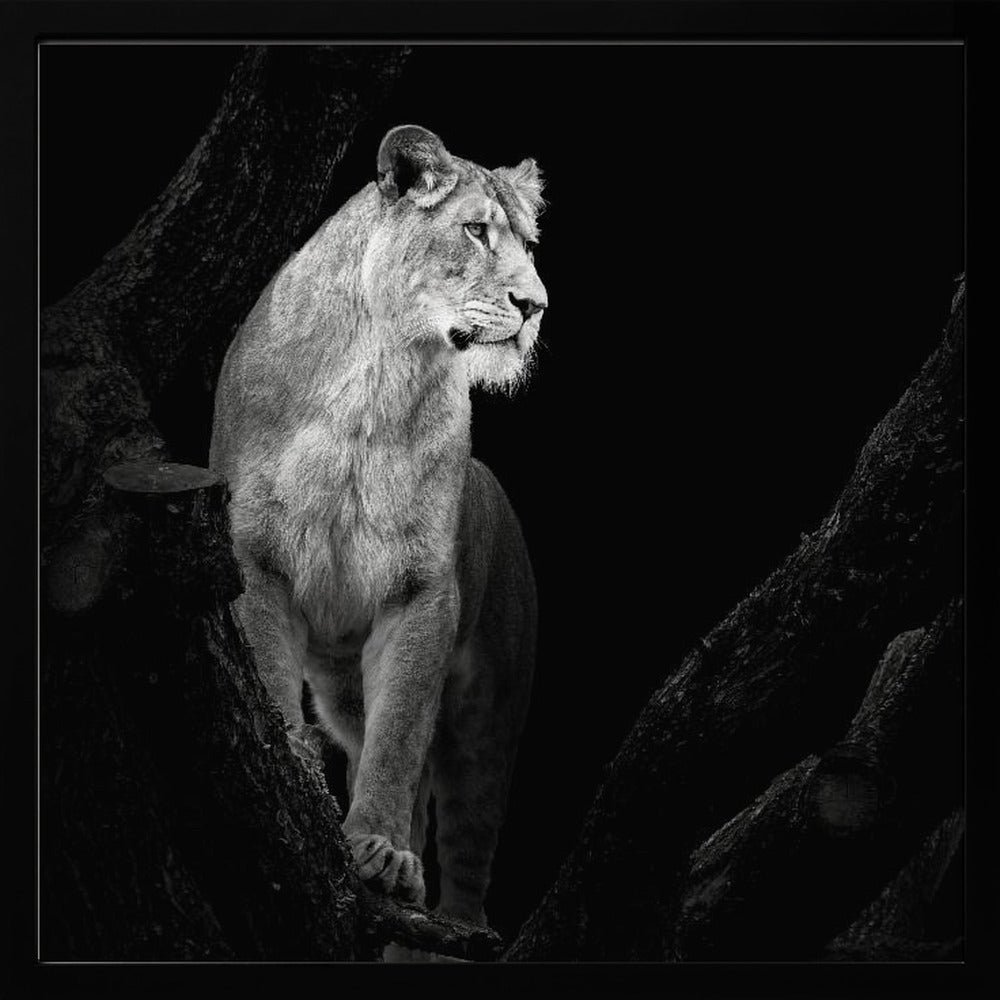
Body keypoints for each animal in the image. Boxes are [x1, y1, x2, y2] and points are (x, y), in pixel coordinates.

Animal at [209, 124, 546, 929]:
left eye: (529, 242)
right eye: (476, 230)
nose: (537, 305)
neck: (378, 376)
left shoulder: (422, 592)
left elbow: (399, 740)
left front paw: (383, 853)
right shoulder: (255, 558)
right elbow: (272, 682)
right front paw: (296, 775)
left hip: (493, 714)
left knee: (466, 841)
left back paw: (453, 923)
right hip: (341, 689)